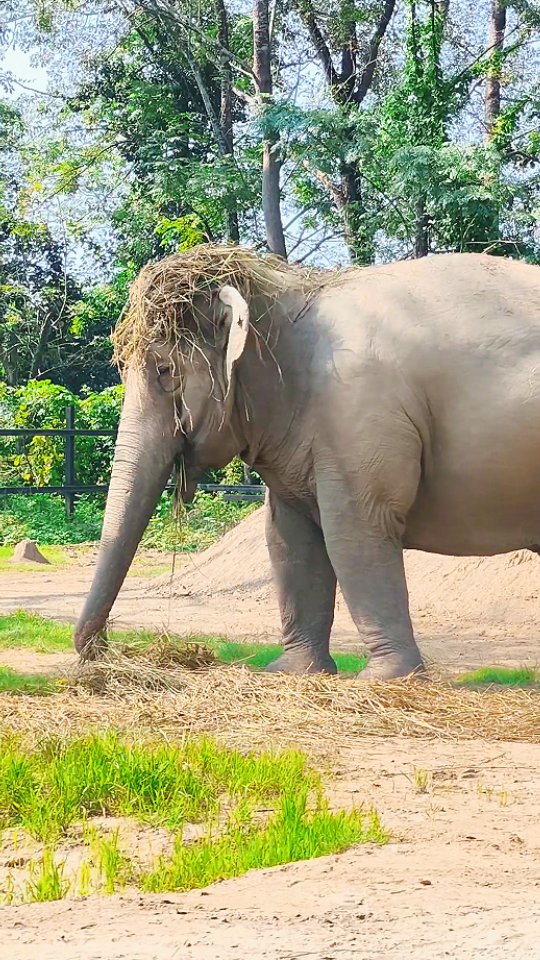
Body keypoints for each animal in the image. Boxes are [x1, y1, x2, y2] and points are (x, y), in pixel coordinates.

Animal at [74, 246, 540, 679]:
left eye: (165, 371)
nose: (99, 649)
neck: (285, 293)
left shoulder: (357, 411)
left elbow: (354, 530)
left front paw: (385, 679)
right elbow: (288, 538)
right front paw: (290, 671)